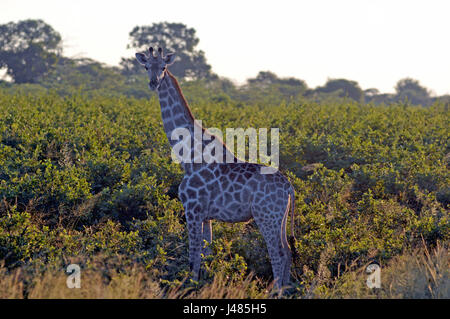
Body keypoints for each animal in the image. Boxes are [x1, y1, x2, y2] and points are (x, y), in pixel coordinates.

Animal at [135, 47, 298, 290]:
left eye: (163, 67)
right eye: (146, 67)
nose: (153, 82)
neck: (188, 158)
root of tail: (289, 188)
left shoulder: (192, 209)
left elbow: (193, 254)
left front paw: (188, 287)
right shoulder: (206, 215)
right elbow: (206, 252)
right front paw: (204, 284)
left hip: (266, 216)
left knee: (277, 253)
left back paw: (274, 292)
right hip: (280, 217)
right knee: (287, 251)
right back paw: (284, 290)